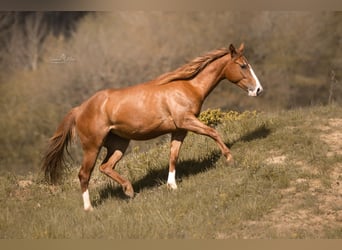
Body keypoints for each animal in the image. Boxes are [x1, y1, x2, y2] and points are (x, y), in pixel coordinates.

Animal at [41, 43, 264, 211]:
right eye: (243, 66)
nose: (258, 90)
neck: (188, 87)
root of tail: (79, 109)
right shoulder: (186, 121)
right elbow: (213, 132)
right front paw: (230, 158)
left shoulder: (179, 130)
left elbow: (173, 155)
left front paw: (171, 185)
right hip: (92, 146)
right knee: (84, 174)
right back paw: (89, 208)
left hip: (119, 144)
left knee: (106, 167)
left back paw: (129, 190)